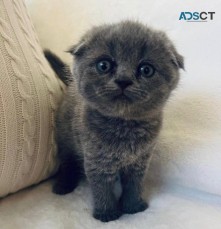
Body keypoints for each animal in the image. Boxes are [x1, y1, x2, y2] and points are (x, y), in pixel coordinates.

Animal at [44, 21, 184, 222]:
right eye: (104, 65)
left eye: (146, 69)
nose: (123, 80)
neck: (124, 126)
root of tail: (70, 85)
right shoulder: (96, 160)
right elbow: (102, 187)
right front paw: (107, 214)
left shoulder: (140, 160)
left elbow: (134, 184)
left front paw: (133, 207)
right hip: (65, 138)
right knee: (67, 162)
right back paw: (63, 185)